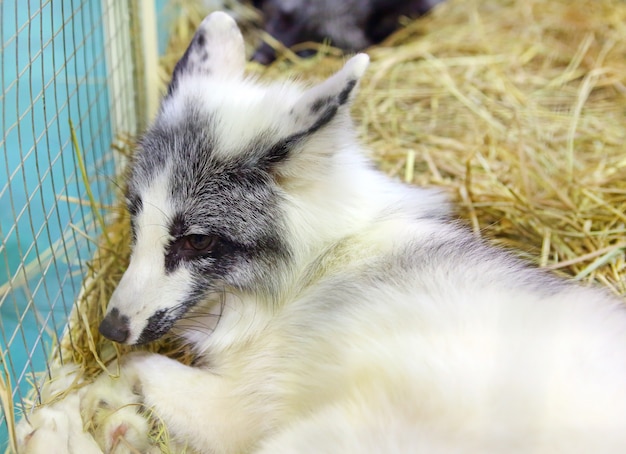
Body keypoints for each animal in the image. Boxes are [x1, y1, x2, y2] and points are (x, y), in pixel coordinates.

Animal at [78, 10, 624, 454]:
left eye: (197, 240)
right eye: (135, 219)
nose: (110, 329)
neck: (316, 267)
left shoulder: (236, 408)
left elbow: (138, 364)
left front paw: (103, 404)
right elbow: (135, 363)